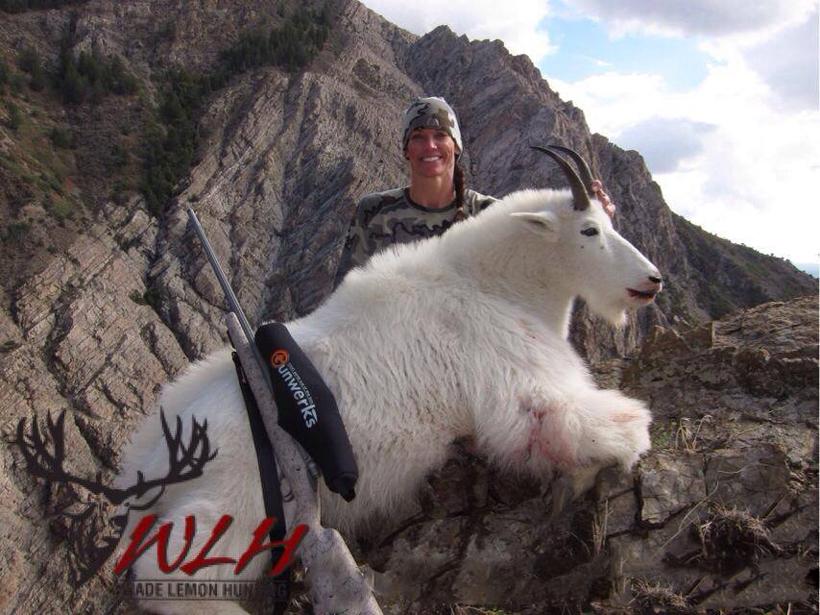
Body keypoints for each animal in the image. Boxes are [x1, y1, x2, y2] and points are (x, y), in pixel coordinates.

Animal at [115, 146, 662, 614]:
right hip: (236, 507)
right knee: (171, 575)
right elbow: (616, 428)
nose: (652, 280)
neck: (496, 287)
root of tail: (147, 462)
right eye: (589, 230)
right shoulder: (524, 396)